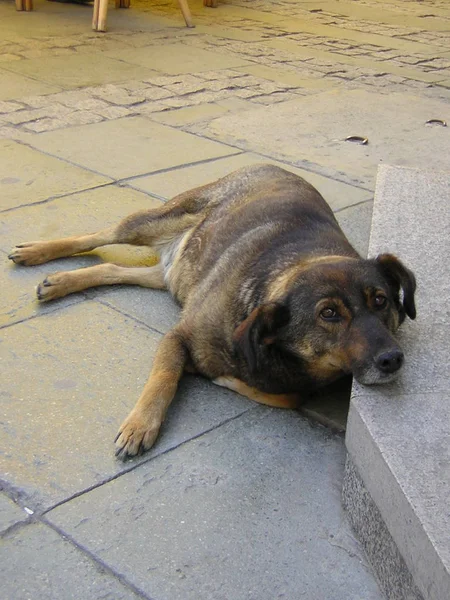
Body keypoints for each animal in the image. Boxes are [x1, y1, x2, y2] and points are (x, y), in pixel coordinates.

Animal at [7, 164, 416, 460]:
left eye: (381, 300)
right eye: (328, 313)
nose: (392, 359)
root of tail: (273, 165)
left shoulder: (294, 386)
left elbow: (287, 395)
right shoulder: (178, 336)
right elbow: (164, 377)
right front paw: (142, 424)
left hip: (173, 276)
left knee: (112, 269)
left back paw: (59, 282)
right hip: (154, 221)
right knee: (100, 235)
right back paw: (37, 252)